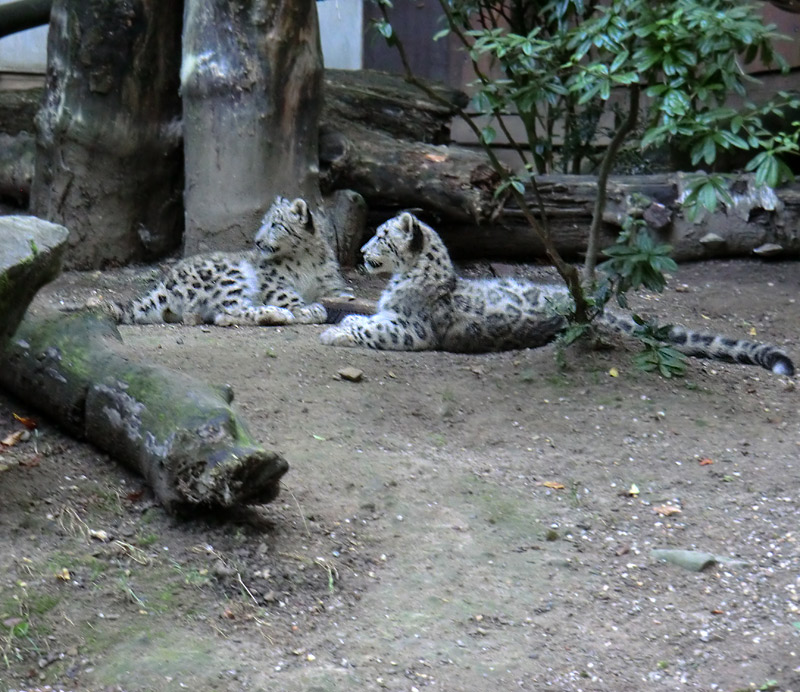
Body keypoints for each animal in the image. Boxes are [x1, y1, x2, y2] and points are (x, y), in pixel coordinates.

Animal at [100, 197, 350, 328]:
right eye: (264, 222)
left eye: (276, 225)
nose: (257, 241)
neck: (307, 261)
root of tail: (165, 281)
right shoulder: (272, 281)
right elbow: (287, 295)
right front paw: (308, 309)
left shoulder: (331, 285)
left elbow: (342, 296)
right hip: (229, 276)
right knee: (229, 311)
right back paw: (279, 314)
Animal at [318, 211, 792, 376]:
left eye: (381, 236)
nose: (362, 252)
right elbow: (367, 316)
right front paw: (346, 317)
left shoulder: (410, 329)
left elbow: (373, 329)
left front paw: (337, 331)